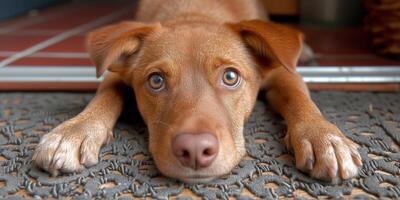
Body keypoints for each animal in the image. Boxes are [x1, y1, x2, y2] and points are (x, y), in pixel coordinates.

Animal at [32, 0, 362, 183]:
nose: (193, 151)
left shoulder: (283, 73)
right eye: (156, 81)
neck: (195, 12)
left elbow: (301, 99)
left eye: (230, 76)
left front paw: (323, 137)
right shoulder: (116, 74)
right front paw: (73, 132)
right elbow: (103, 97)